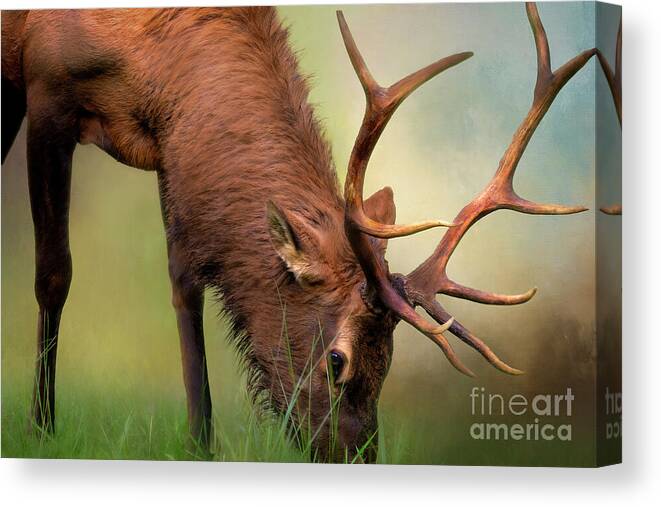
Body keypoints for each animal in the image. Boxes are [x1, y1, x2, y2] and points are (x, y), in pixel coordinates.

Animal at [1, 4, 600, 464]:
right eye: (337, 360)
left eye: (390, 357)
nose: (358, 458)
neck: (153, 58)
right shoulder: (47, 85)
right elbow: (54, 273)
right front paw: (41, 429)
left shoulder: (177, 150)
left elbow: (184, 287)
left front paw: (200, 445)